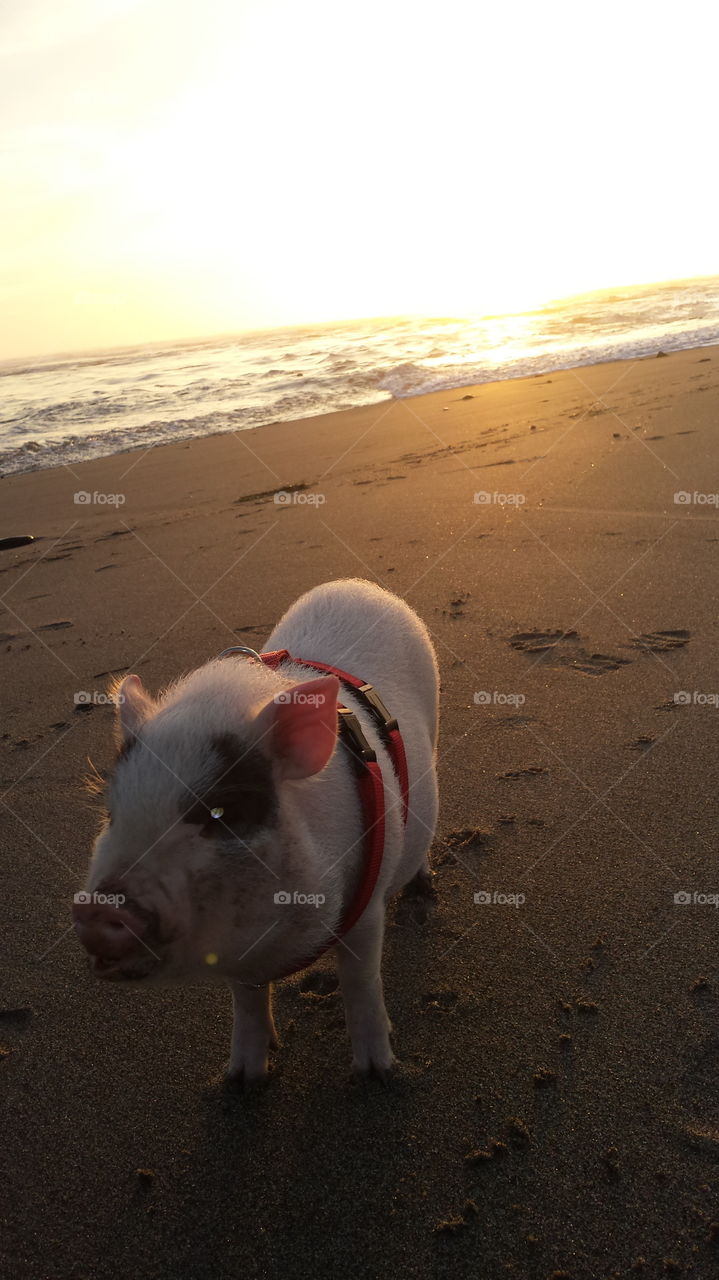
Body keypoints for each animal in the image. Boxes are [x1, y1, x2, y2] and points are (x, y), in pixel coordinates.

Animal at [75, 581, 440, 1080]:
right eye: (112, 815)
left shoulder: (367, 906)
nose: (98, 907)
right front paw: (241, 1078)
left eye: (220, 812)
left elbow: (360, 982)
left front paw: (377, 1073)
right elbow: (246, 1001)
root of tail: (358, 584)